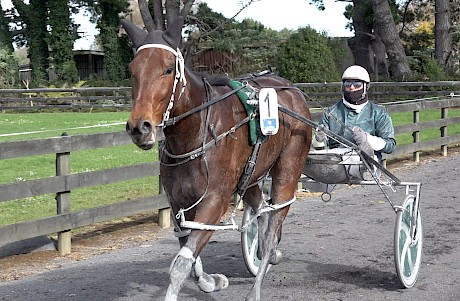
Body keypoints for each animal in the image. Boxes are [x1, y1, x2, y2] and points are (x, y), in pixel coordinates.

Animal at [121, 17, 312, 300]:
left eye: (167, 69)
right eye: (132, 70)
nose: (139, 127)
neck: (196, 134)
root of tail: (292, 91)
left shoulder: (214, 200)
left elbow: (180, 264)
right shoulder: (178, 203)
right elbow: (190, 256)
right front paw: (211, 281)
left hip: (289, 167)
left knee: (274, 220)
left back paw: (256, 286)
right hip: (250, 176)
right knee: (262, 213)